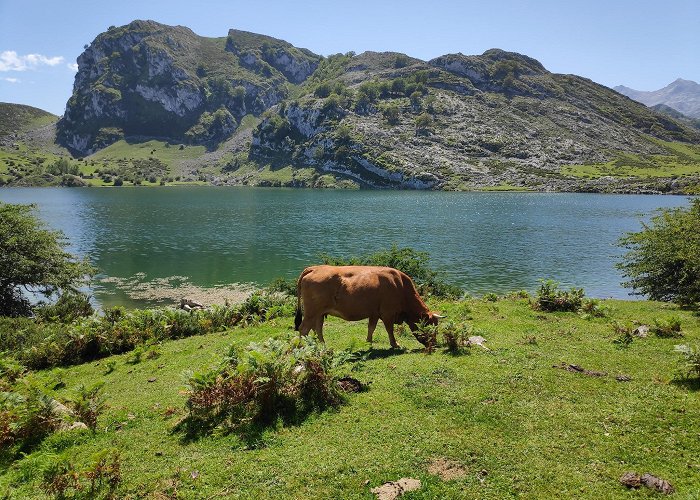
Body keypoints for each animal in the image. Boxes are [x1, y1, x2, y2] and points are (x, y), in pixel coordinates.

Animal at [296, 266, 442, 348]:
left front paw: (369, 342)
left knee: (317, 329)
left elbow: (371, 328)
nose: (434, 344)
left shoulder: (374, 313)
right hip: (311, 312)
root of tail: (314, 268)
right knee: (304, 329)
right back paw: (303, 347)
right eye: (430, 326)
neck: (400, 285)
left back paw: (321, 345)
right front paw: (395, 344)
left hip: (319, 313)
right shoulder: (387, 313)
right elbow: (390, 330)